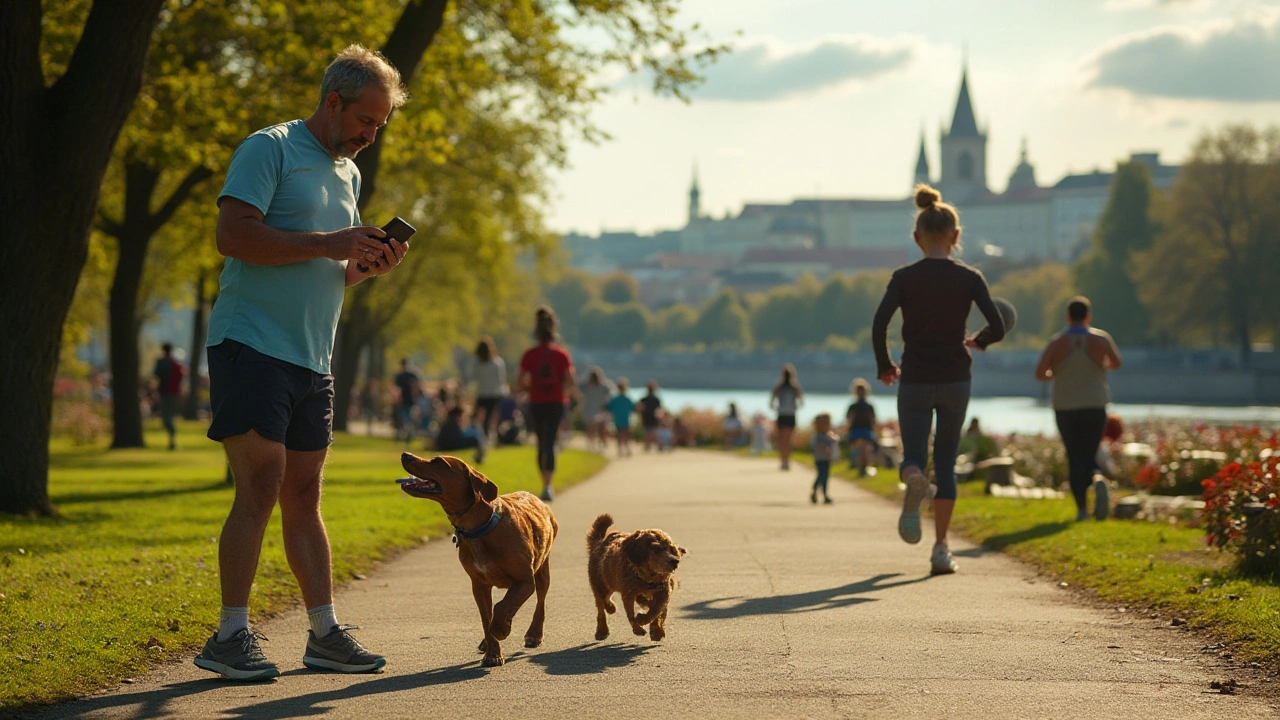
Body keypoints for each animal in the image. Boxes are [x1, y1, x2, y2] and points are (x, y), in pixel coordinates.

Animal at [396, 450, 558, 666]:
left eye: (438, 461)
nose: (405, 454)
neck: (479, 527)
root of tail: (536, 498)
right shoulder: (479, 585)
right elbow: (486, 617)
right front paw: (493, 652)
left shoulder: (525, 580)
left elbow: (502, 607)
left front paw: (501, 629)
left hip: (542, 572)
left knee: (540, 601)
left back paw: (534, 634)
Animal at [588, 509, 691, 638]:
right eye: (656, 549)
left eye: (671, 549)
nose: (675, 561)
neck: (647, 578)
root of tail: (598, 543)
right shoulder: (628, 594)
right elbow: (631, 615)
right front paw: (638, 628)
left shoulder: (664, 591)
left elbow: (657, 610)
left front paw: (654, 628)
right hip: (600, 584)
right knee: (601, 607)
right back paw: (602, 629)